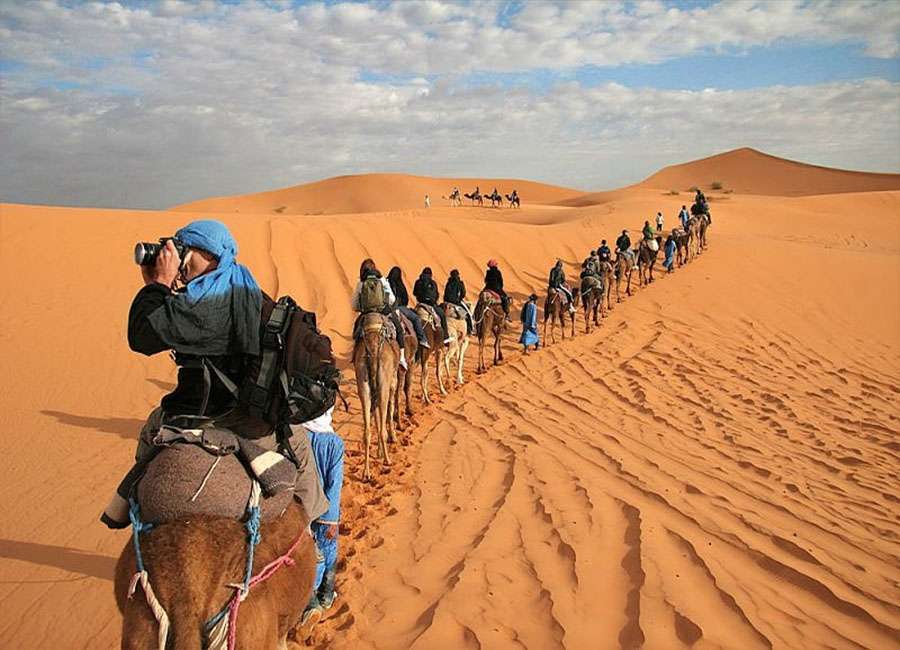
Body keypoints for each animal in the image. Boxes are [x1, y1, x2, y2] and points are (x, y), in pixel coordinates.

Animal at [354, 312, 400, 478]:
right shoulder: (391, 383)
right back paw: (387, 460)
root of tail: (373, 350)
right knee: (381, 427)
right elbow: (388, 411)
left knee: (367, 430)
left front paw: (378, 452)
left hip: (363, 383)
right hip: (384, 383)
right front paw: (391, 439)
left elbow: (376, 416)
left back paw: (366, 472)